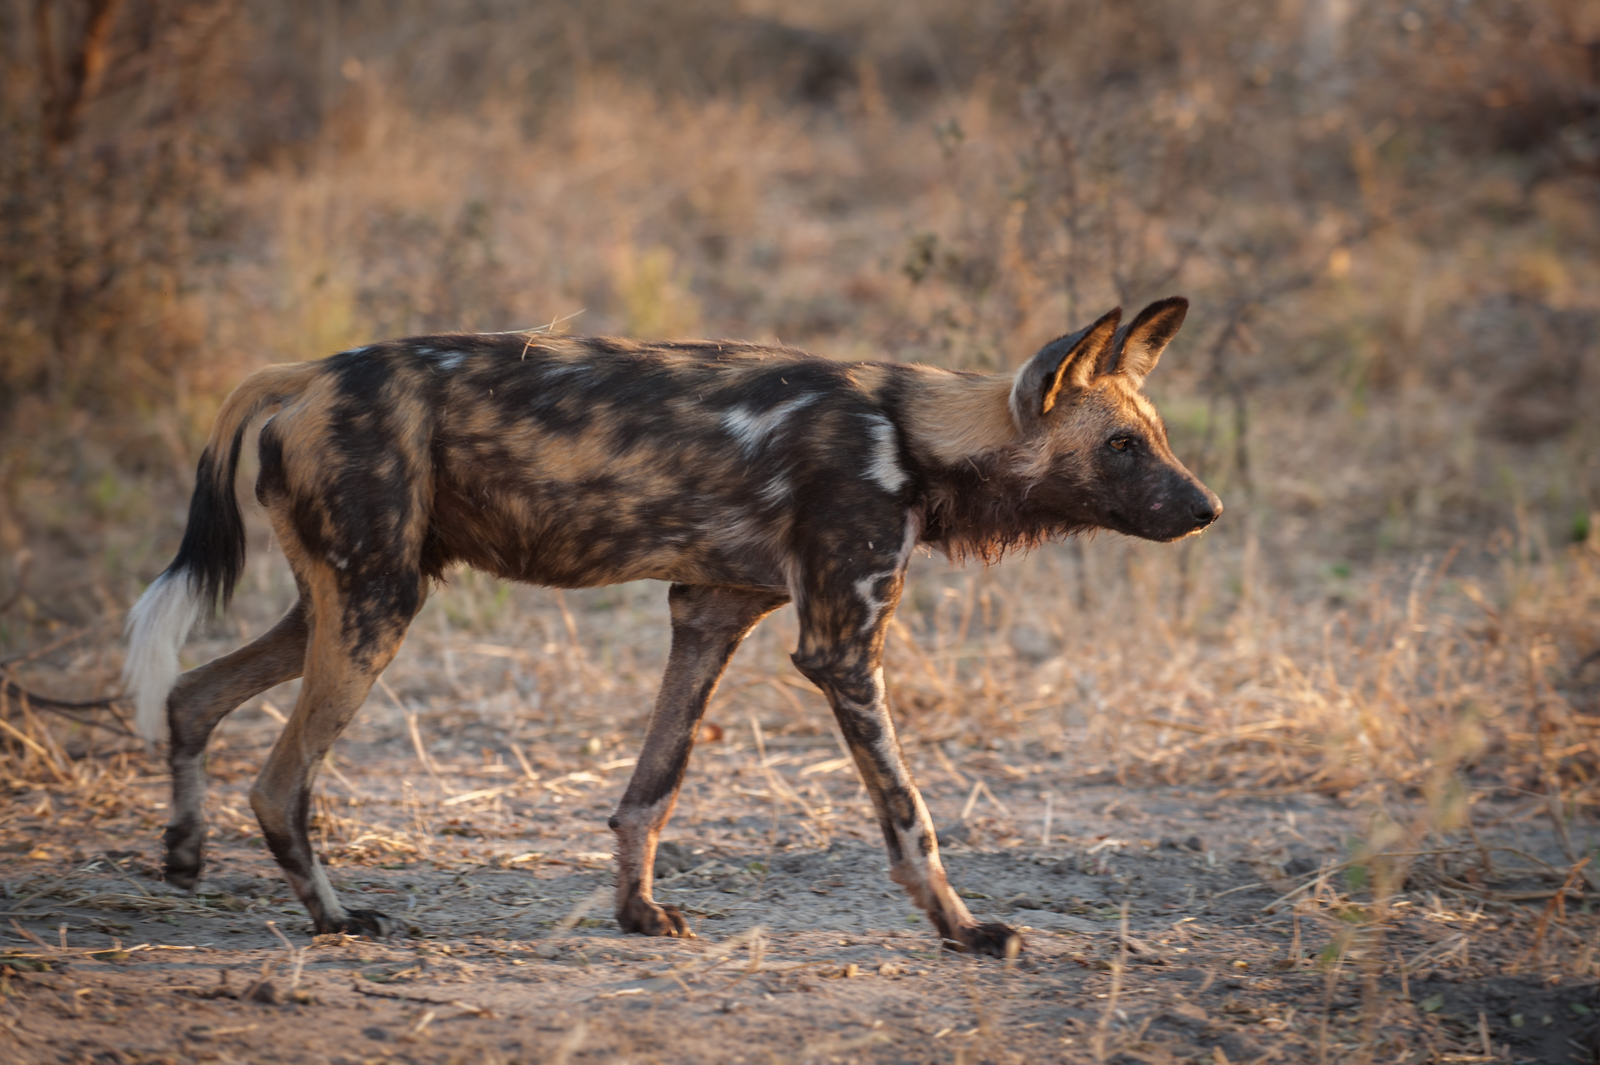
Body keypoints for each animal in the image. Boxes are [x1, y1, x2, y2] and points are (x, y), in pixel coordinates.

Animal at [124, 295, 1216, 953]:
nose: (1207, 508)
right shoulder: (840, 650)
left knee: (192, 695)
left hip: (348, 602)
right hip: (373, 612)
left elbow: (652, 789)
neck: (914, 435)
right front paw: (965, 930)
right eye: (1120, 447)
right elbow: (910, 817)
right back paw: (338, 918)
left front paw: (636, 910)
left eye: (1156, 438)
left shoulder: (709, 617)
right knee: (278, 784)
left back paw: (184, 855)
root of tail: (308, 370)